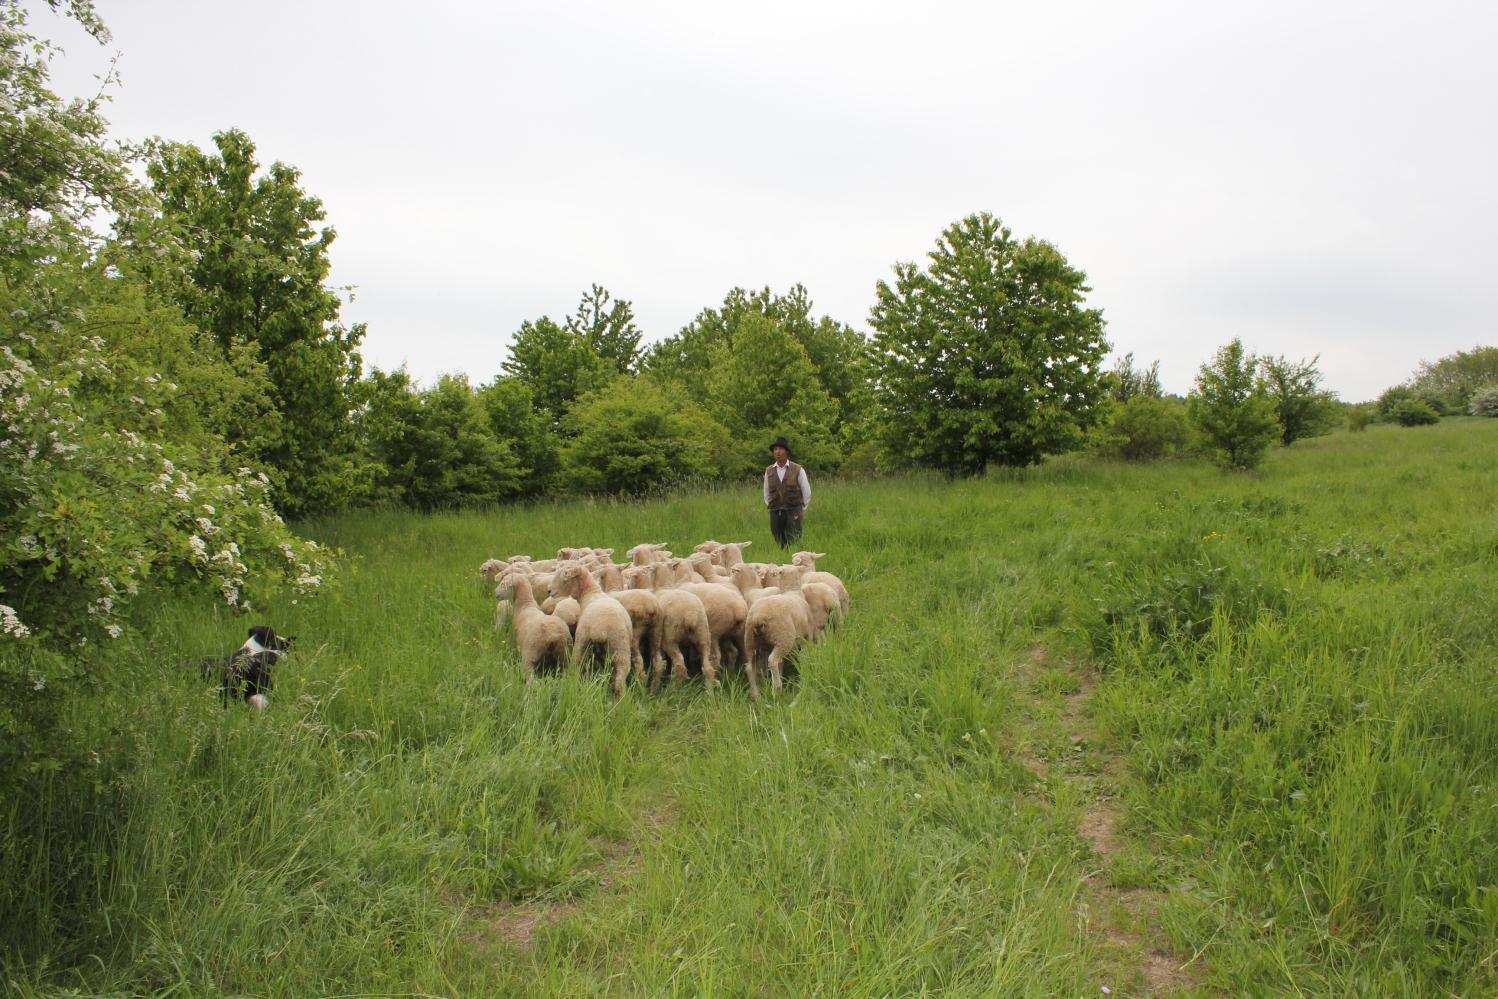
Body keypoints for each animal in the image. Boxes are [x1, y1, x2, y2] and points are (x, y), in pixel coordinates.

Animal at [557, 563, 638, 694]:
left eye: (565, 576)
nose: (549, 591)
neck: (592, 592)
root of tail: (601, 628)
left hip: (582, 640)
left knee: (576, 664)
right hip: (619, 646)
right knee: (619, 678)